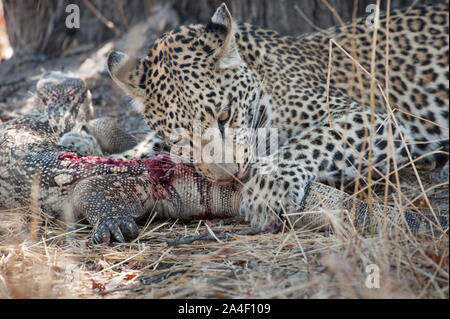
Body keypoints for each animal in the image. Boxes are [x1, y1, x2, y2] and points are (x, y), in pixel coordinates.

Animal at [106, 1, 450, 232]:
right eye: (181, 139)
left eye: (225, 116)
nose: (229, 177)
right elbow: (145, 148)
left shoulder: (374, 118)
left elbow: (311, 140)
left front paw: (267, 189)